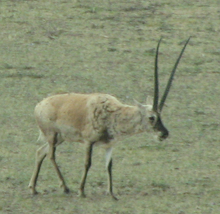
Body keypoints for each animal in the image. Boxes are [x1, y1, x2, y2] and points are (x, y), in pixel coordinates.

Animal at [28, 37, 190, 200]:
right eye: (152, 117)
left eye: (161, 116)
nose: (164, 134)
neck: (113, 113)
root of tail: (39, 105)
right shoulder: (89, 142)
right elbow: (88, 163)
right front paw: (81, 191)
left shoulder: (109, 145)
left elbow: (109, 166)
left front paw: (112, 194)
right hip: (52, 135)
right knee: (50, 155)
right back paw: (65, 188)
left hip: (60, 137)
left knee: (41, 152)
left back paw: (34, 188)